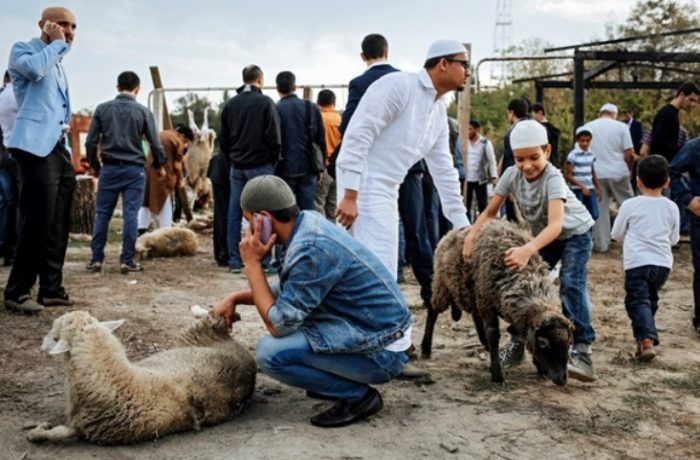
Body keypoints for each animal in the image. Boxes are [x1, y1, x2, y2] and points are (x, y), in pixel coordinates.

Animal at [28, 310, 258, 444]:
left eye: (54, 335)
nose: (41, 343)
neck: (117, 381)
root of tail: (245, 356)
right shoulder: (80, 427)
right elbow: (59, 433)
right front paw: (42, 428)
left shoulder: (82, 426)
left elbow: (48, 435)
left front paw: (37, 431)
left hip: (199, 331)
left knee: (214, 318)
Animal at [424, 219, 572, 384]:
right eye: (543, 343)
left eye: (569, 343)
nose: (562, 379)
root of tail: (449, 234)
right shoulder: (488, 304)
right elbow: (493, 334)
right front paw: (497, 374)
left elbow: (521, 334)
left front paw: (540, 368)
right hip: (442, 285)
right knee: (433, 309)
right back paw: (426, 348)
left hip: (474, 293)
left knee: (475, 315)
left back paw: (484, 343)